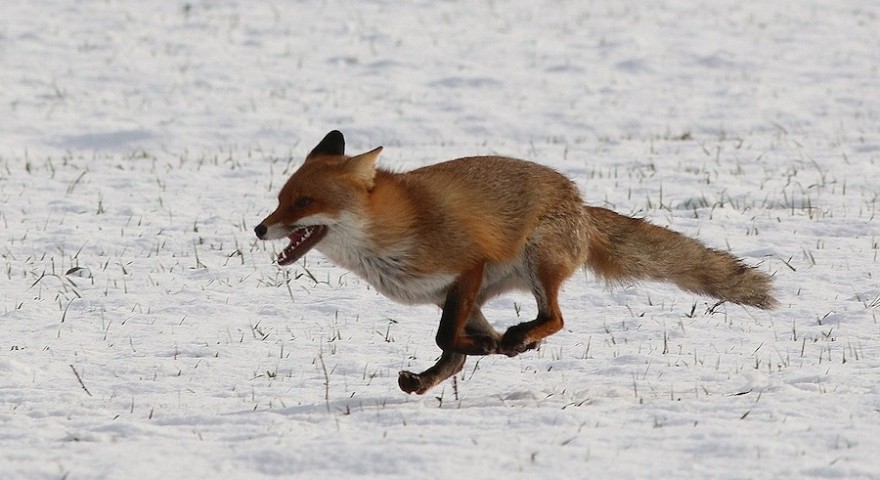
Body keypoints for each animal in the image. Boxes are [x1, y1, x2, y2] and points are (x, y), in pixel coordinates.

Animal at [254, 130, 776, 394]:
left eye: (303, 202)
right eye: (279, 201)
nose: (259, 229)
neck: (389, 232)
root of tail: (581, 203)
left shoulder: (469, 266)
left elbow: (446, 337)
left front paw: (494, 346)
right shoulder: (450, 292)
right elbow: (454, 348)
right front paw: (481, 351)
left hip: (537, 260)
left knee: (555, 318)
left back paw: (517, 338)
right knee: (468, 355)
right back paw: (454, 367)